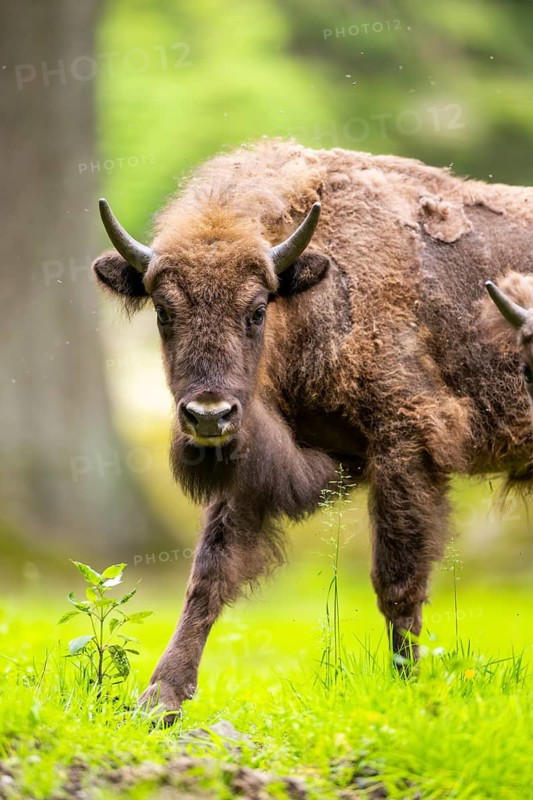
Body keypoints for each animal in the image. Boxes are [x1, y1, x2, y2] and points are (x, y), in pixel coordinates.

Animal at [92, 140, 533, 719]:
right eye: (164, 313)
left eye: (257, 309)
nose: (209, 414)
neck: (314, 295)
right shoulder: (251, 465)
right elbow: (208, 575)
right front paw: (160, 700)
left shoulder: (404, 446)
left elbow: (398, 582)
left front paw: (407, 687)